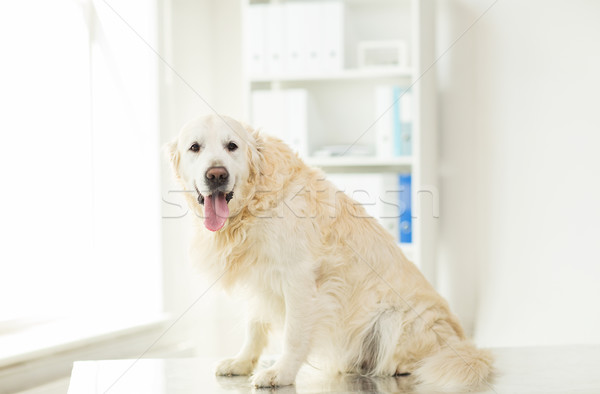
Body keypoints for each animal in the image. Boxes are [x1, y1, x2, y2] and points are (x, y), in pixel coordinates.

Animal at [166, 114, 494, 390]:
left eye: (231, 146)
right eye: (195, 147)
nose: (216, 175)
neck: (253, 206)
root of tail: (460, 344)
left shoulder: (299, 278)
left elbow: (293, 335)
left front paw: (281, 372)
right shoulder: (258, 279)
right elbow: (254, 327)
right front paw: (242, 361)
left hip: (395, 319)